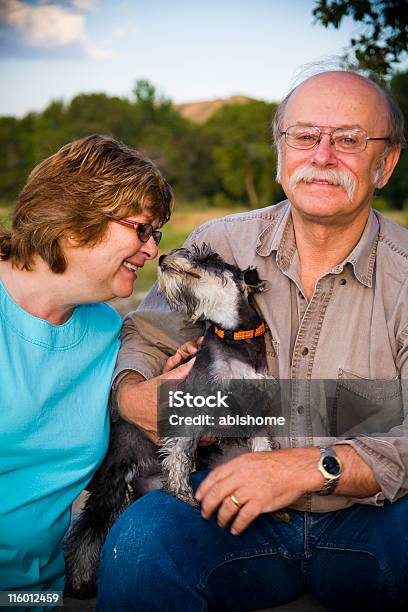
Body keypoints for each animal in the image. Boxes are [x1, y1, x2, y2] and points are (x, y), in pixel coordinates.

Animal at [66, 243, 278, 596]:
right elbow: (179, 451)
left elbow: (262, 449)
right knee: (87, 533)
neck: (234, 338)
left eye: (210, 258)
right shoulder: (193, 403)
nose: (164, 258)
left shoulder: (258, 410)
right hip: (112, 482)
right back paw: (81, 578)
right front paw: (181, 492)